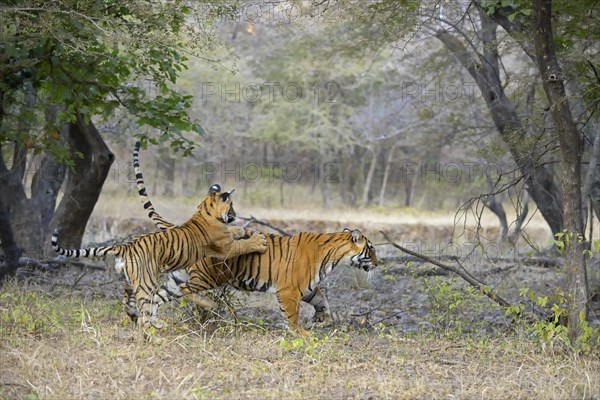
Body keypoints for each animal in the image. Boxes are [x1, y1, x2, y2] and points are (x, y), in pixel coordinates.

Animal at [51, 142, 268, 330]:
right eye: (232, 207)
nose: (235, 215)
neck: (204, 210)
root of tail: (125, 246)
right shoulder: (226, 247)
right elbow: (242, 245)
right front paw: (258, 241)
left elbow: (233, 232)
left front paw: (240, 230)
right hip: (147, 280)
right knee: (160, 298)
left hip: (135, 279)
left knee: (130, 297)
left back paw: (138, 316)